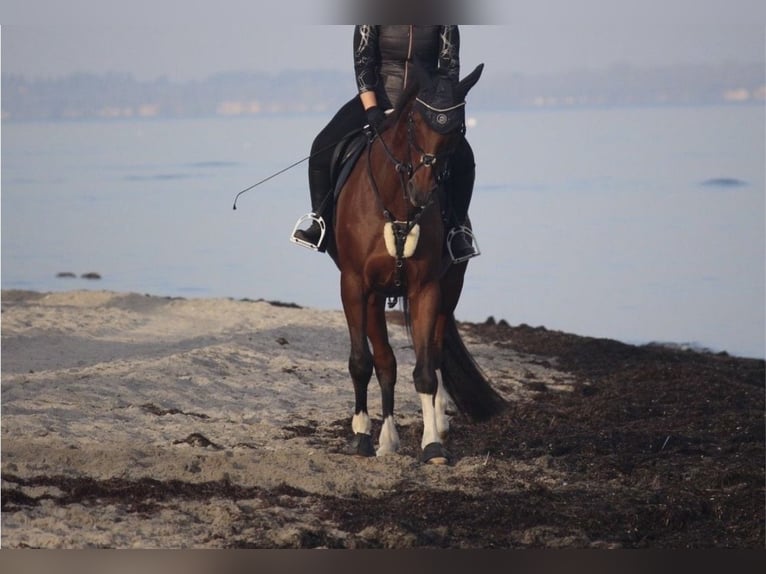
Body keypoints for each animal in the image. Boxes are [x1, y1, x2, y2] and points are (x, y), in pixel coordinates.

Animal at [328, 64, 508, 468]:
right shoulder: (354, 285)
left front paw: (432, 445)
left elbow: (425, 369)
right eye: (414, 121)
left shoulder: (426, 288)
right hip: (375, 297)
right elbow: (361, 361)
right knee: (384, 361)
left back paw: (433, 422)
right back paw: (385, 437)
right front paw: (362, 436)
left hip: (448, 288)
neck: (397, 204)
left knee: (434, 353)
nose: (423, 190)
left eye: (457, 128)